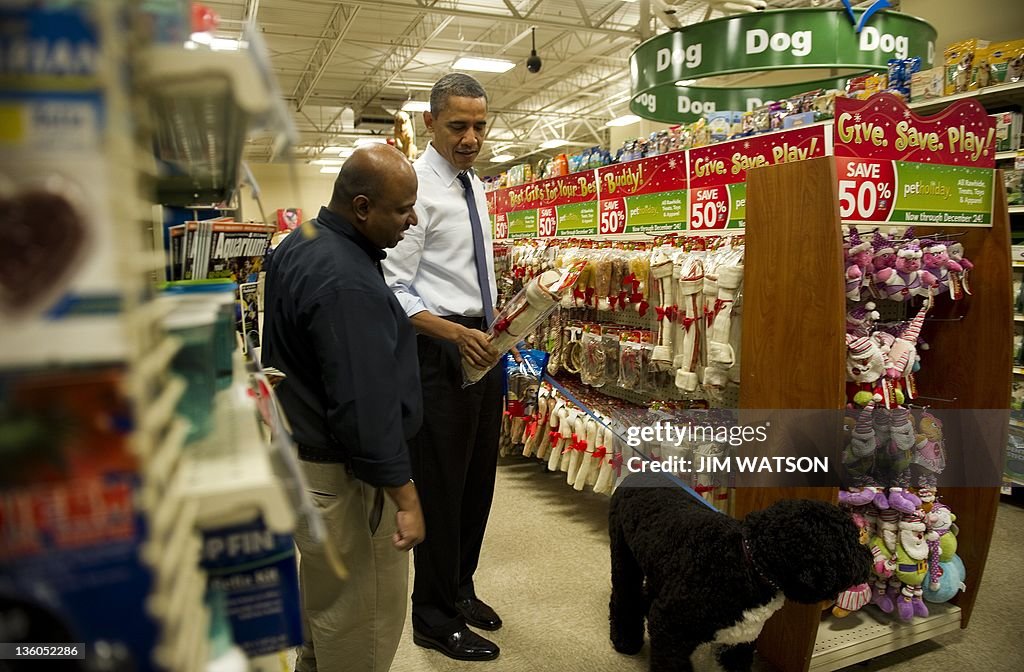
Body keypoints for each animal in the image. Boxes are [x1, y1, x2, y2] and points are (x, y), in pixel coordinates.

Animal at [610, 475, 868, 667]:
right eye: (852, 542)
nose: (868, 557)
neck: (748, 563)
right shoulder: (669, 630)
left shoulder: (741, 642)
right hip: (624, 556)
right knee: (623, 597)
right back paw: (625, 640)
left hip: (660, 572)